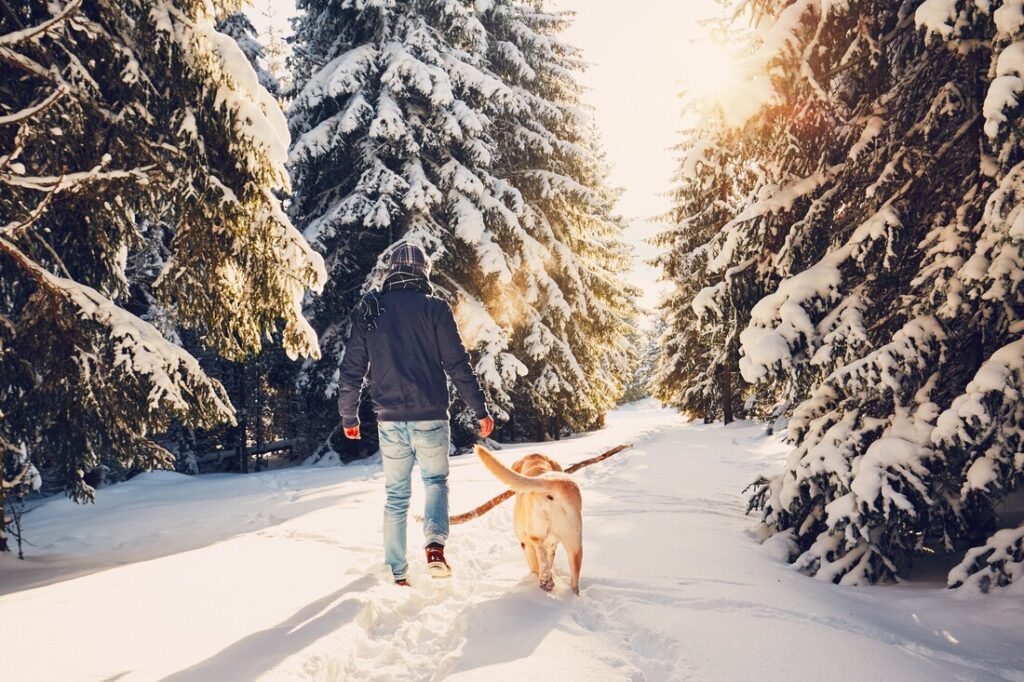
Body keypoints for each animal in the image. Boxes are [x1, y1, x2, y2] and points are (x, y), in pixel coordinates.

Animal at [473, 444, 585, 593]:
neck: (537, 466)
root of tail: (555, 482)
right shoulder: (553, 544)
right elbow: (549, 558)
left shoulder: (524, 541)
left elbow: (535, 563)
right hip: (574, 543)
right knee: (573, 575)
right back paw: (572, 592)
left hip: (535, 533)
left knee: (540, 552)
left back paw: (545, 581)